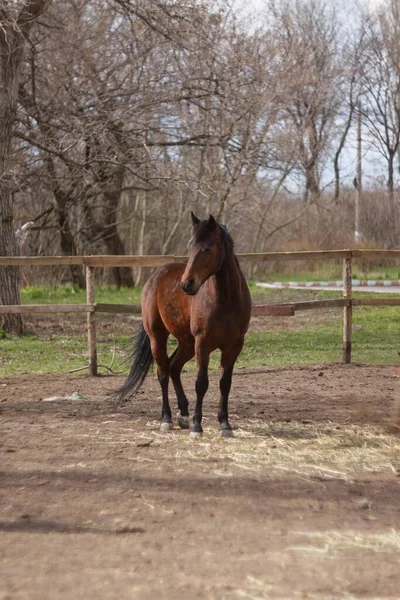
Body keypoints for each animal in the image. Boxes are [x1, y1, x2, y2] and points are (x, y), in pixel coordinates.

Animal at [115, 212, 252, 436]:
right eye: (190, 246)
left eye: (208, 248)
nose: (187, 284)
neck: (227, 301)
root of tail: (155, 276)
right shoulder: (202, 344)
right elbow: (201, 383)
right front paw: (197, 426)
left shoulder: (234, 346)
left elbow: (225, 383)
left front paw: (224, 424)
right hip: (158, 338)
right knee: (163, 373)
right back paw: (167, 418)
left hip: (187, 344)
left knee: (174, 368)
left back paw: (184, 414)